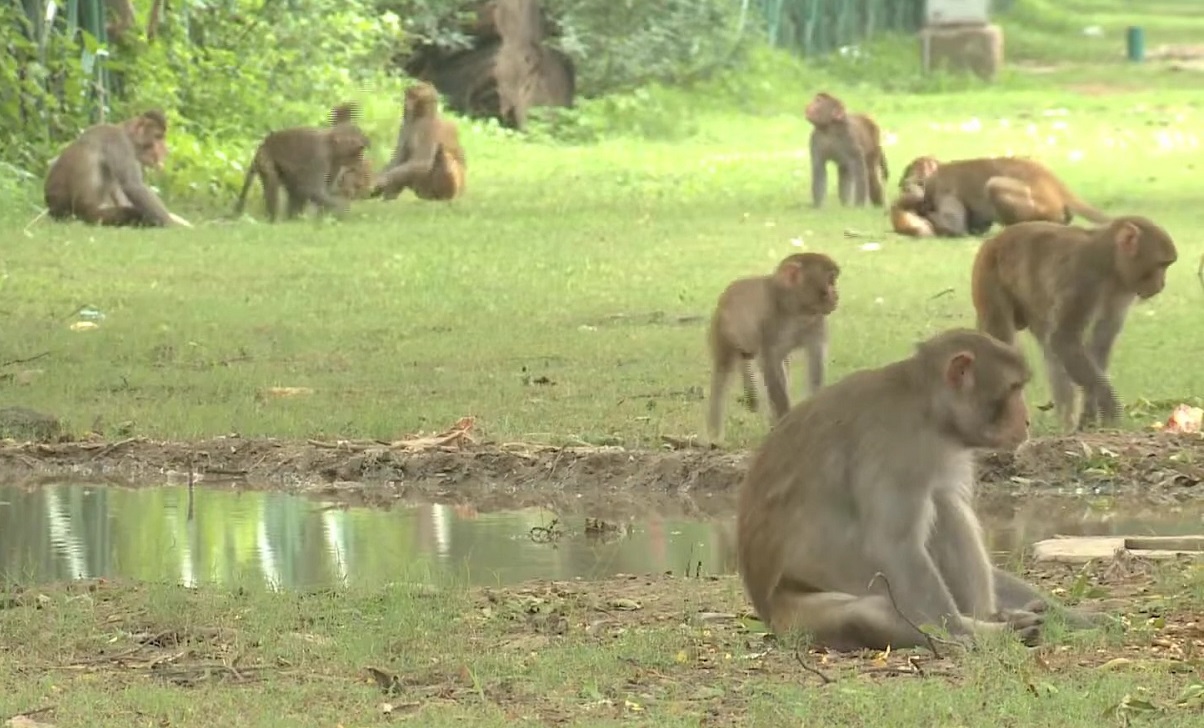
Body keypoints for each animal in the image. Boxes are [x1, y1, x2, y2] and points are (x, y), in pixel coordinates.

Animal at [44, 109, 188, 228]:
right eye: (158, 137)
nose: (165, 150)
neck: (126, 133)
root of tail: (55, 211)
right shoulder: (120, 142)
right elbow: (133, 186)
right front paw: (171, 224)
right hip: (93, 216)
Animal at [233, 106, 371, 222]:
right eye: (359, 151)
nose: (360, 160)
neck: (331, 146)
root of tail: (264, 143)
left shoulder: (334, 163)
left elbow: (323, 190)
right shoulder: (319, 156)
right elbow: (315, 191)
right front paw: (342, 208)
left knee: (295, 189)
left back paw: (292, 219)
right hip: (265, 158)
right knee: (273, 183)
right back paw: (272, 220)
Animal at [705, 252, 839, 445]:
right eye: (830, 281)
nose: (836, 295)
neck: (795, 311)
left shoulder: (817, 322)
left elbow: (815, 360)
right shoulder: (770, 321)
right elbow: (770, 363)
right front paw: (786, 421)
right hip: (721, 330)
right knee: (723, 371)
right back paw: (715, 435)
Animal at [737, 328, 1057, 651]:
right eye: (1013, 388)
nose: (1027, 420)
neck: (928, 411)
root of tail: (767, 613)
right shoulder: (895, 446)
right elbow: (894, 545)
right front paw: (964, 632)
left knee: (943, 504)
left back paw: (991, 616)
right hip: (796, 615)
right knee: (866, 614)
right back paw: (990, 630)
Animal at [971, 216, 1177, 432]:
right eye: (1161, 265)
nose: (1162, 285)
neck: (1110, 263)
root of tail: (994, 240)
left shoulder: (1123, 289)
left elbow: (1100, 342)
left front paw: (1090, 417)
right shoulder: (1084, 279)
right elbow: (1064, 338)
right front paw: (1110, 408)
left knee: (1049, 349)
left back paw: (1066, 424)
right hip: (987, 272)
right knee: (1002, 335)